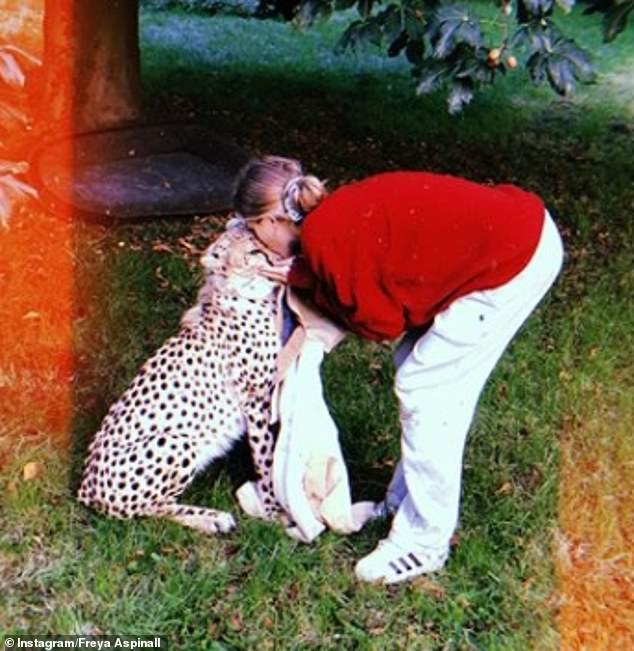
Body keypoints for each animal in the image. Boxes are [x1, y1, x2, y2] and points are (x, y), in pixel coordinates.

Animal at [78, 219, 284, 536]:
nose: (278, 258)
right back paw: (212, 518)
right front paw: (276, 512)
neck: (243, 296)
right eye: (253, 252)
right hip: (177, 442)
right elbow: (265, 456)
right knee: (147, 509)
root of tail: (85, 487)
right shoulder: (255, 400)